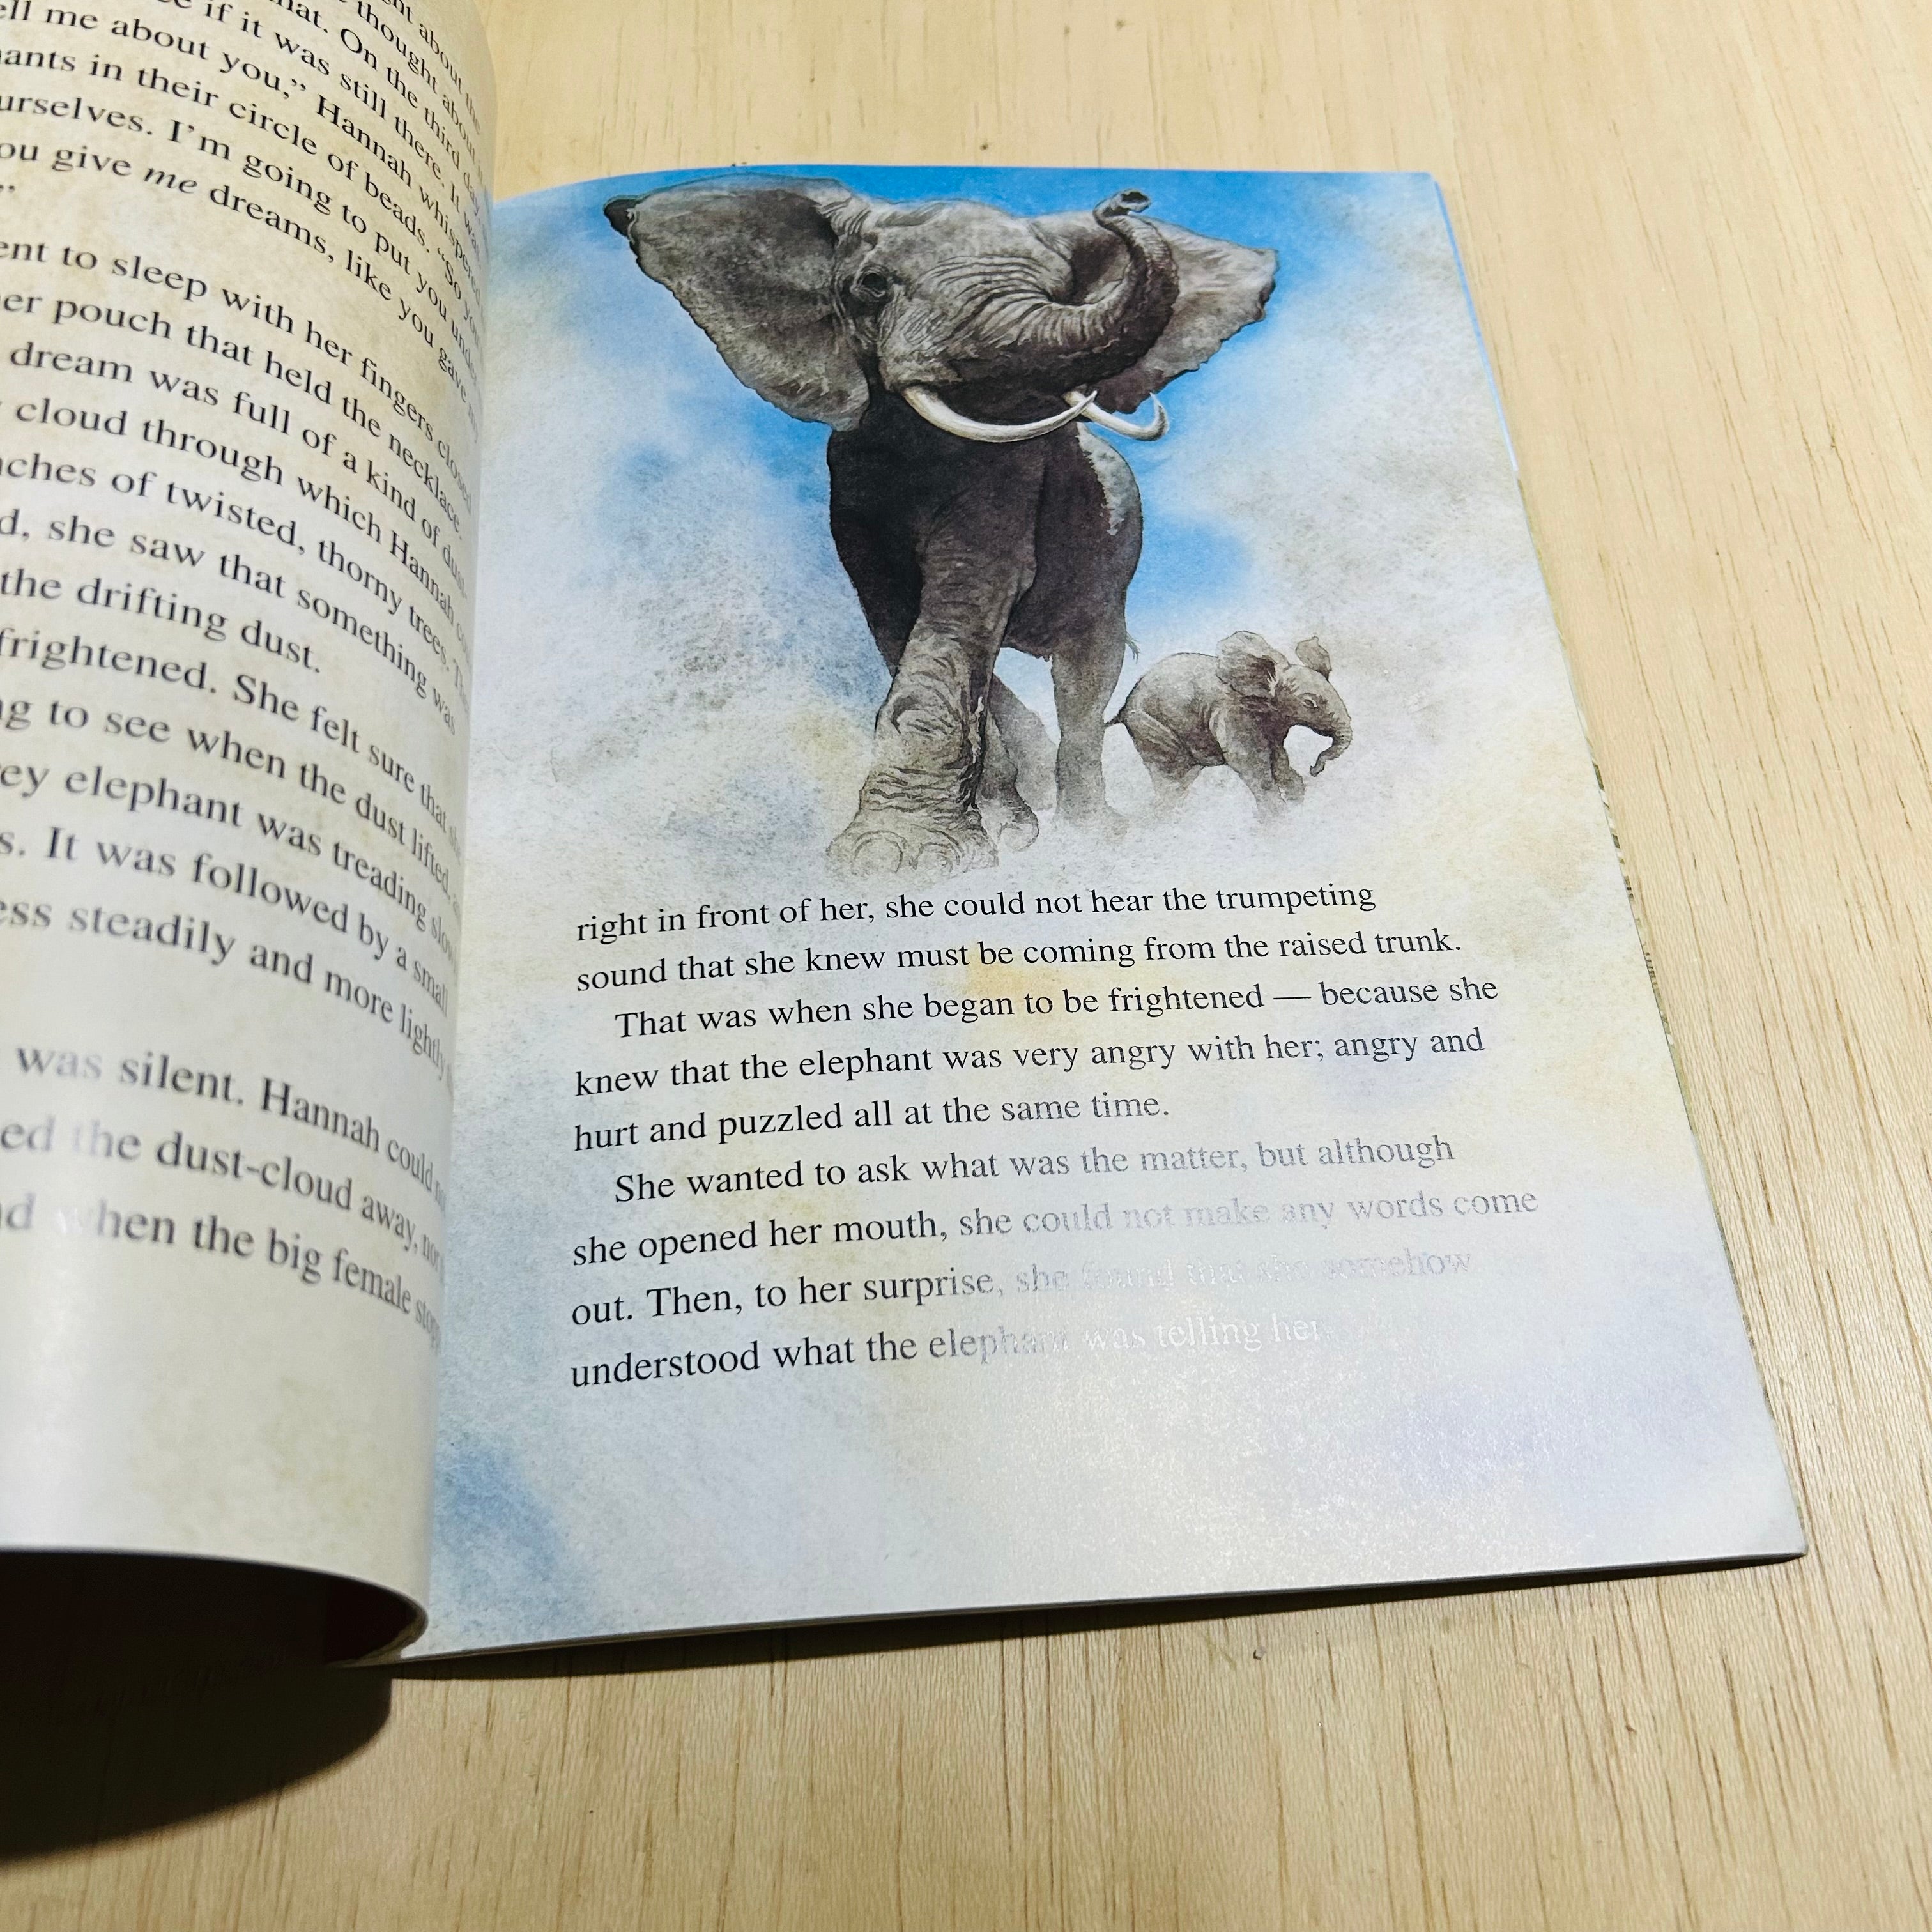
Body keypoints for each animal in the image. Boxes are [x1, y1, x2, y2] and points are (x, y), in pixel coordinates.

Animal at [605, 175, 1276, 875]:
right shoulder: (851, 489)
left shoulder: (1012, 475)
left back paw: (1092, 833)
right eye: (872, 285)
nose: (1126, 200)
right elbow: (898, 615)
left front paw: (898, 861)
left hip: (1110, 572)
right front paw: (970, 843)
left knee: (1087, 676)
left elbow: (961, 601)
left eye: (1063, 292)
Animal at [1110, 632, 1352, 816]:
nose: (1314, 769)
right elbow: (1249, 764)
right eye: (1309, 703)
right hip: (1149, 727)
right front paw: (1278, 822)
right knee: (1172, 780)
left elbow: (1280, 763)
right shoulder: (1234, 714)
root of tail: (1123, 707)